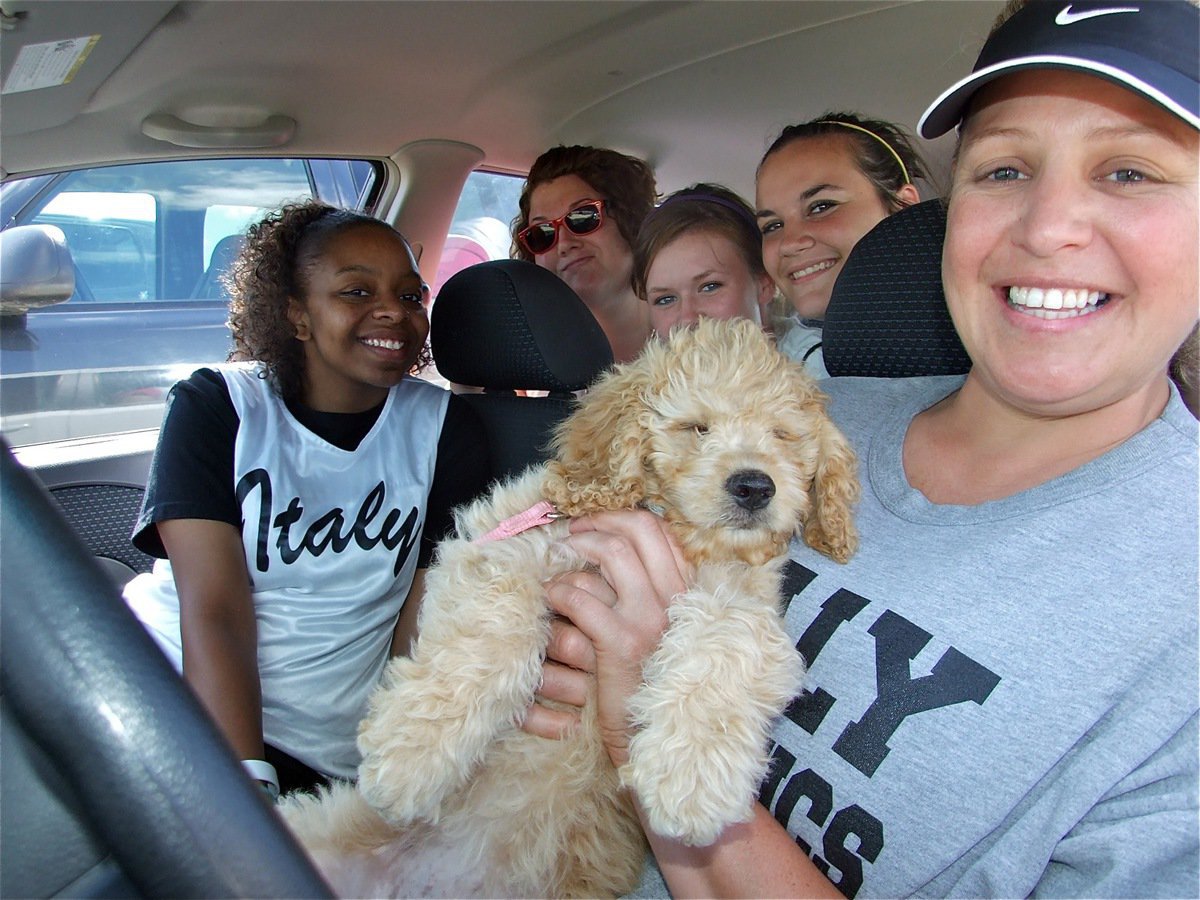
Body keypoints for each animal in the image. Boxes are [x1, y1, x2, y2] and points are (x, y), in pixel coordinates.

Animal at [278, 316, 864, 897]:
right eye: (697, 428)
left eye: (783, 435)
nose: (755, 487)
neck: (678, 533)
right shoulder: (510, 542)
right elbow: (491, 629)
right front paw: (412, 756)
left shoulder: (744, 601)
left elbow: (727, 645)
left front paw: (692, 780)